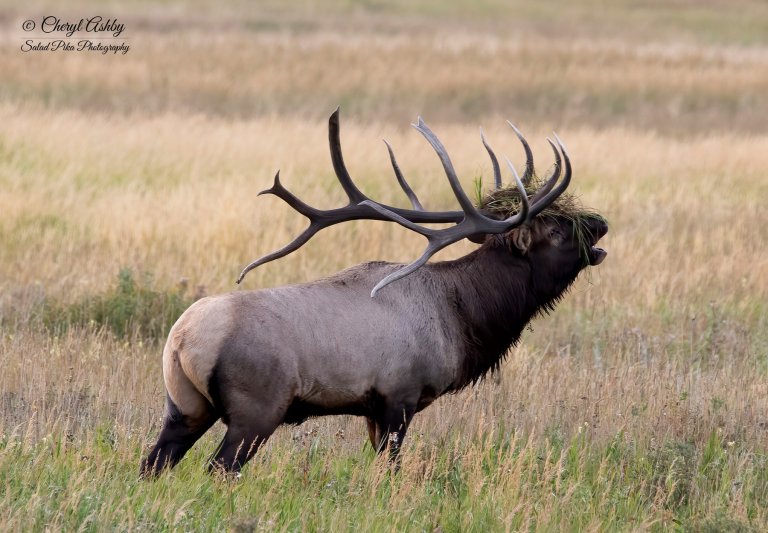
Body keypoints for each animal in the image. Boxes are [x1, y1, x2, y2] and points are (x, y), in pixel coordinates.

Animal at [140, 109, 608, 476]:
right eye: (555, 229)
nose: (601, 222)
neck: (463, 319)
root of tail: (182, 340)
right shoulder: (398, 397)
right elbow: (390, 470)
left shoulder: (371, 409)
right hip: (256, 408)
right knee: (219, 468)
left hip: (184, 406)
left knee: (152, 464)